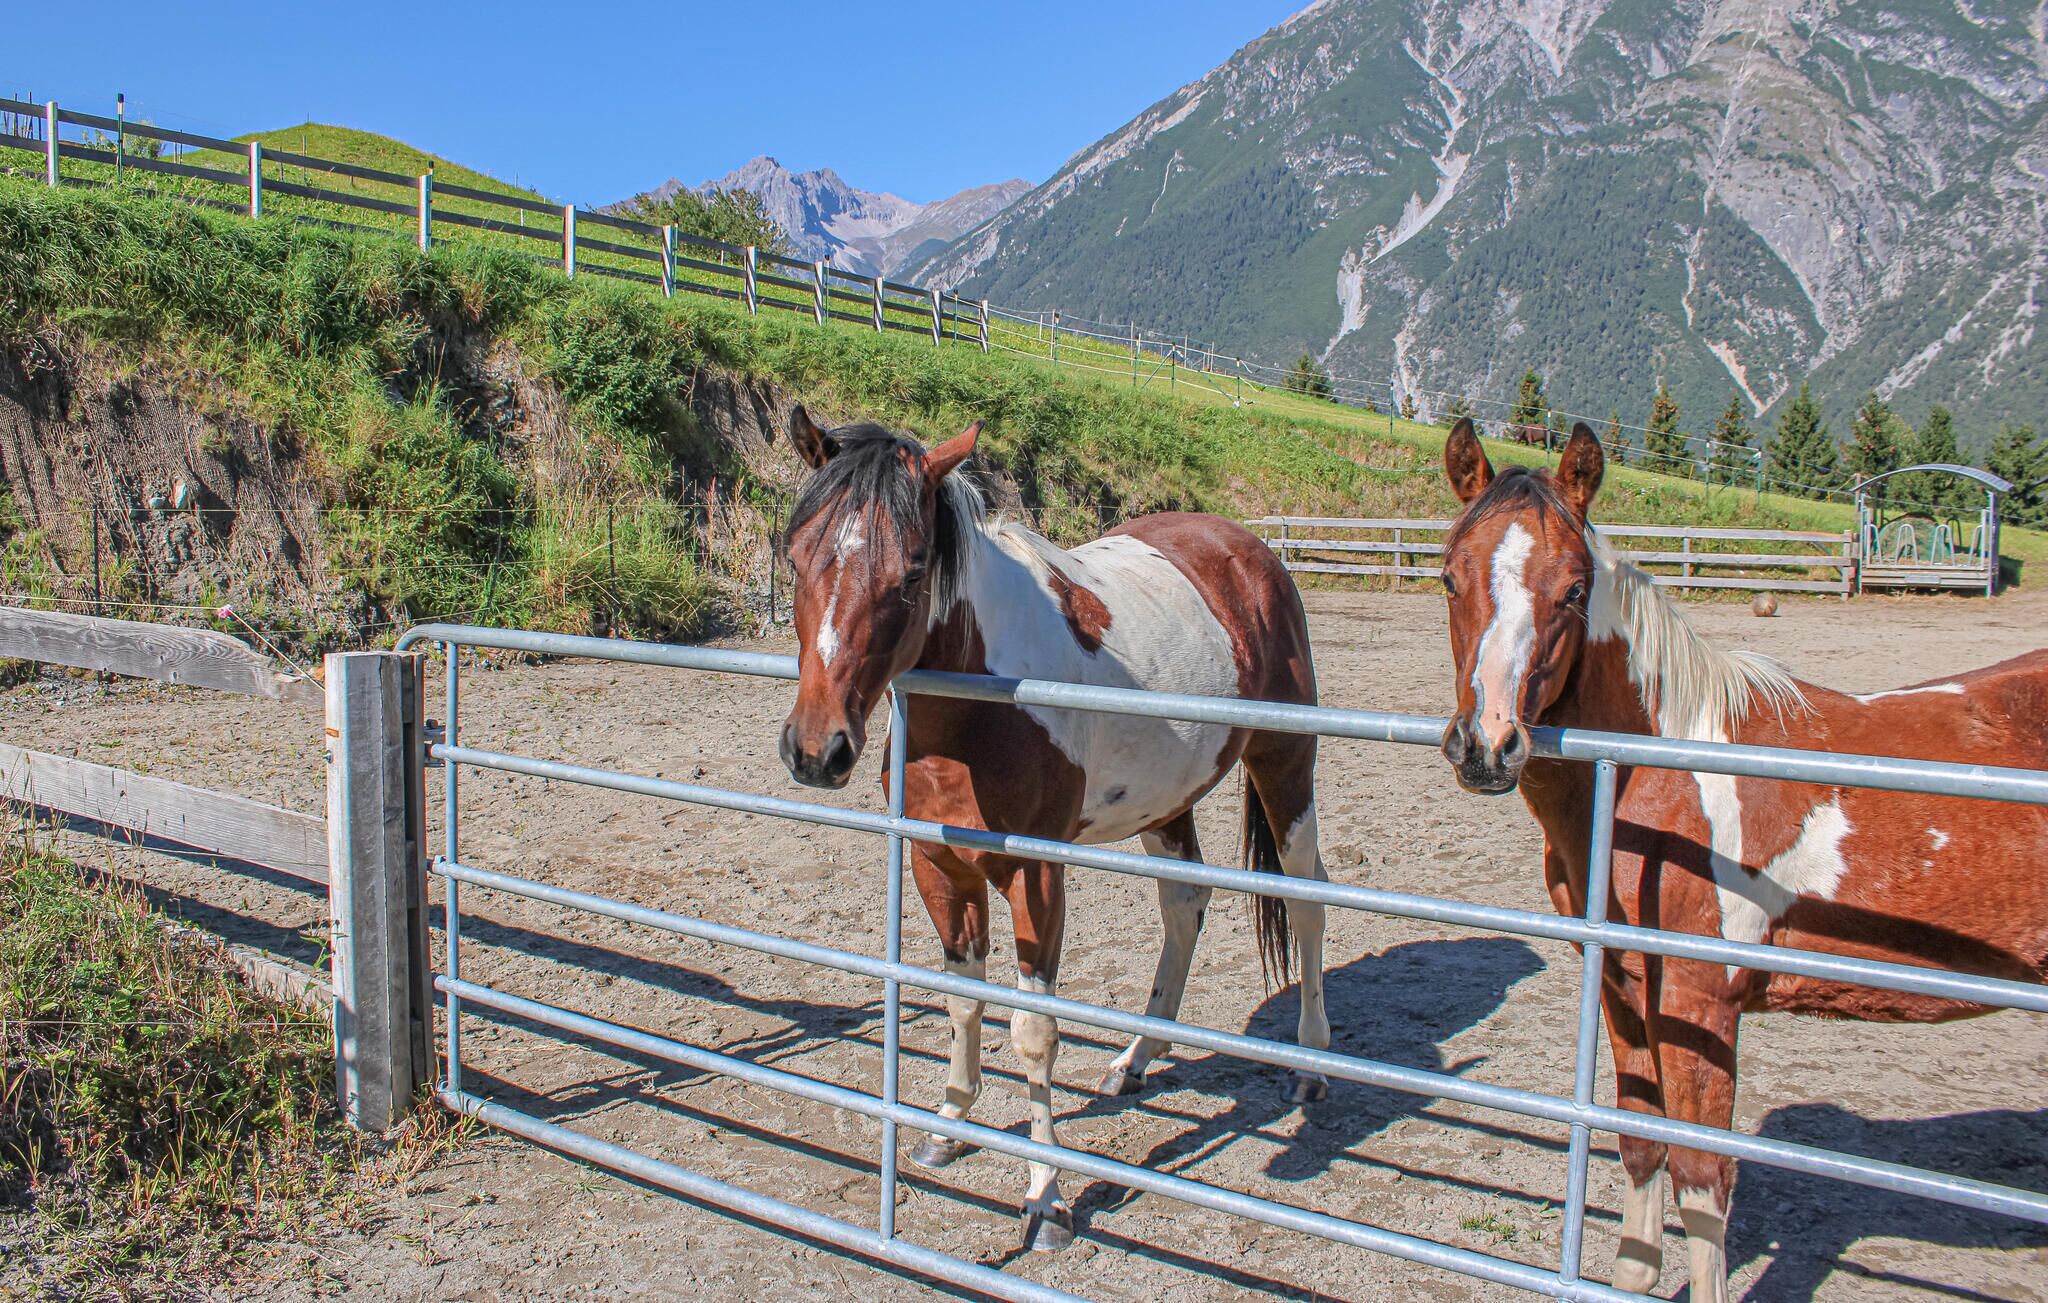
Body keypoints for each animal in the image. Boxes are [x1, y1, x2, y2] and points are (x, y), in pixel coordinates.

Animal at [774, 407, 1332, 1251]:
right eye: (796, 553)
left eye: (911, 571)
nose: (817, 750)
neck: (977, 705)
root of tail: (1251, 549)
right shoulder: (941, 867)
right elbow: (962, 999)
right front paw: (947, 1124)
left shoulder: (1037, 877)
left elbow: (1034, 1031)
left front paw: (1047, 1197)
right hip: (1168, 802)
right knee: (1184, 907)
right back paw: (1136, 1058)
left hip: (1284, 765)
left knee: (1306, 899)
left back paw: (1311, 1065)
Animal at [1432, 418, 2048, 1301]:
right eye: (1450, 577)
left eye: (1575, 590)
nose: (1488, 745)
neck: (1661, 775)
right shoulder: (1623, 988)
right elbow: (1640, 1142)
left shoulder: (1701, 1003)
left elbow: (1703, 1178)